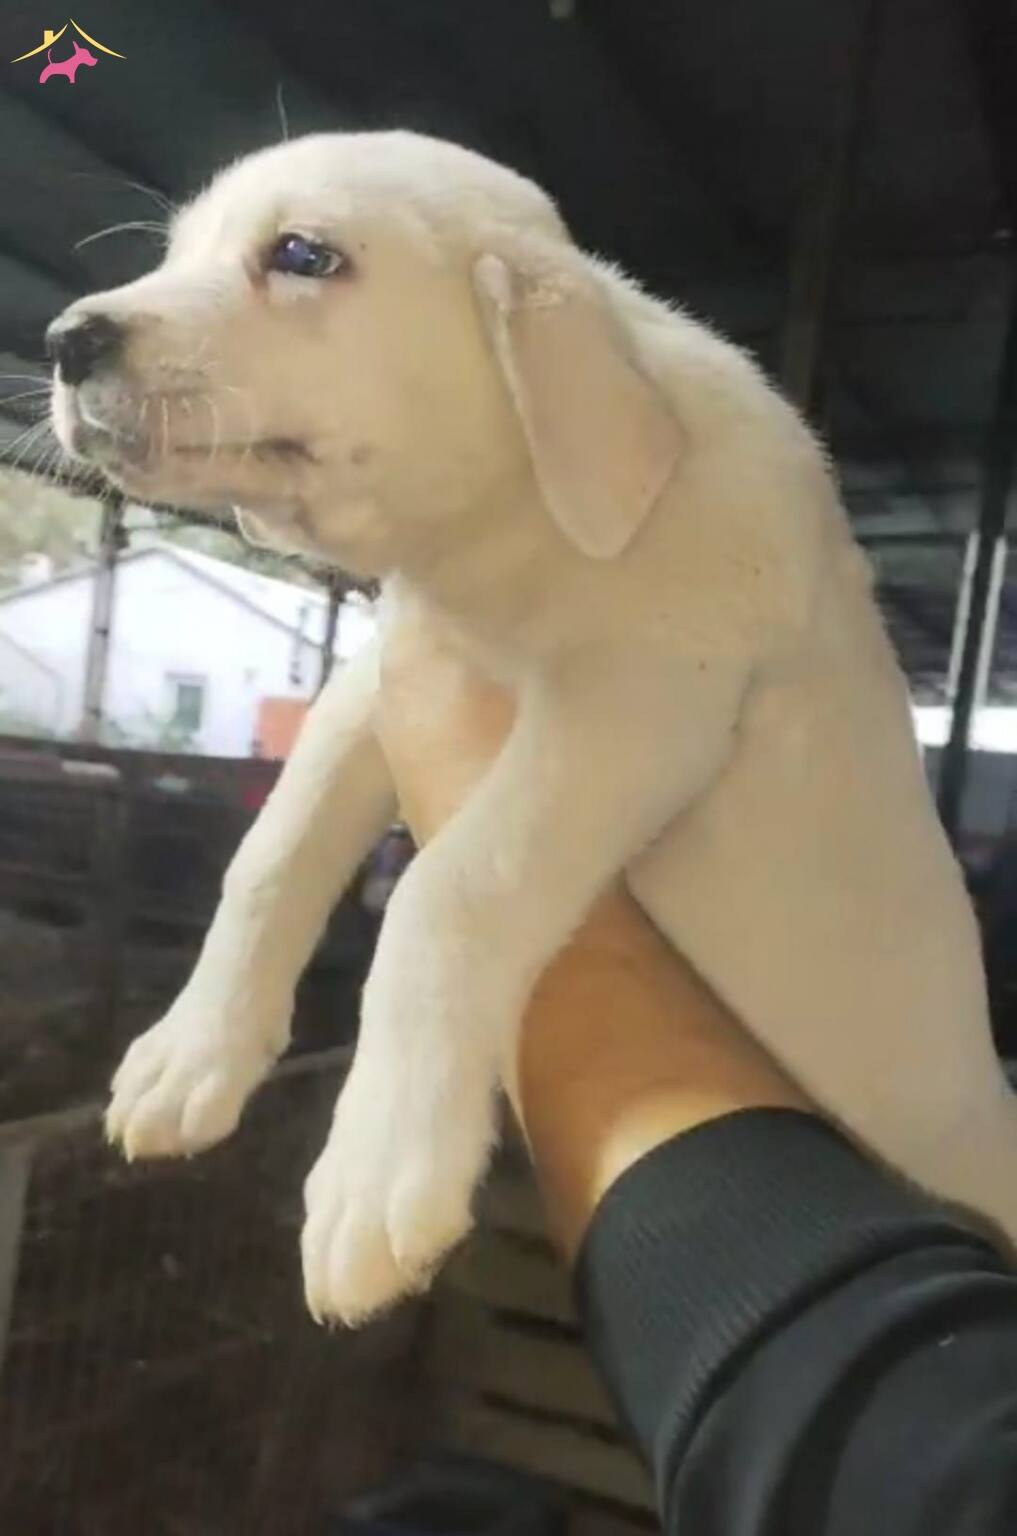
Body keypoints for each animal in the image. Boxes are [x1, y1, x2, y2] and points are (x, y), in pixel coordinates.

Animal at [47, 132, 1017, 1325]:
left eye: (304, 254)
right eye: (178, 252)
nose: (65, 342)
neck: (505, 544)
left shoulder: (642, 698)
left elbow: (447, 893)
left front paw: (376, 1166)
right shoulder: (379, 680)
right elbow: (269, 855)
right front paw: (192, 1054)